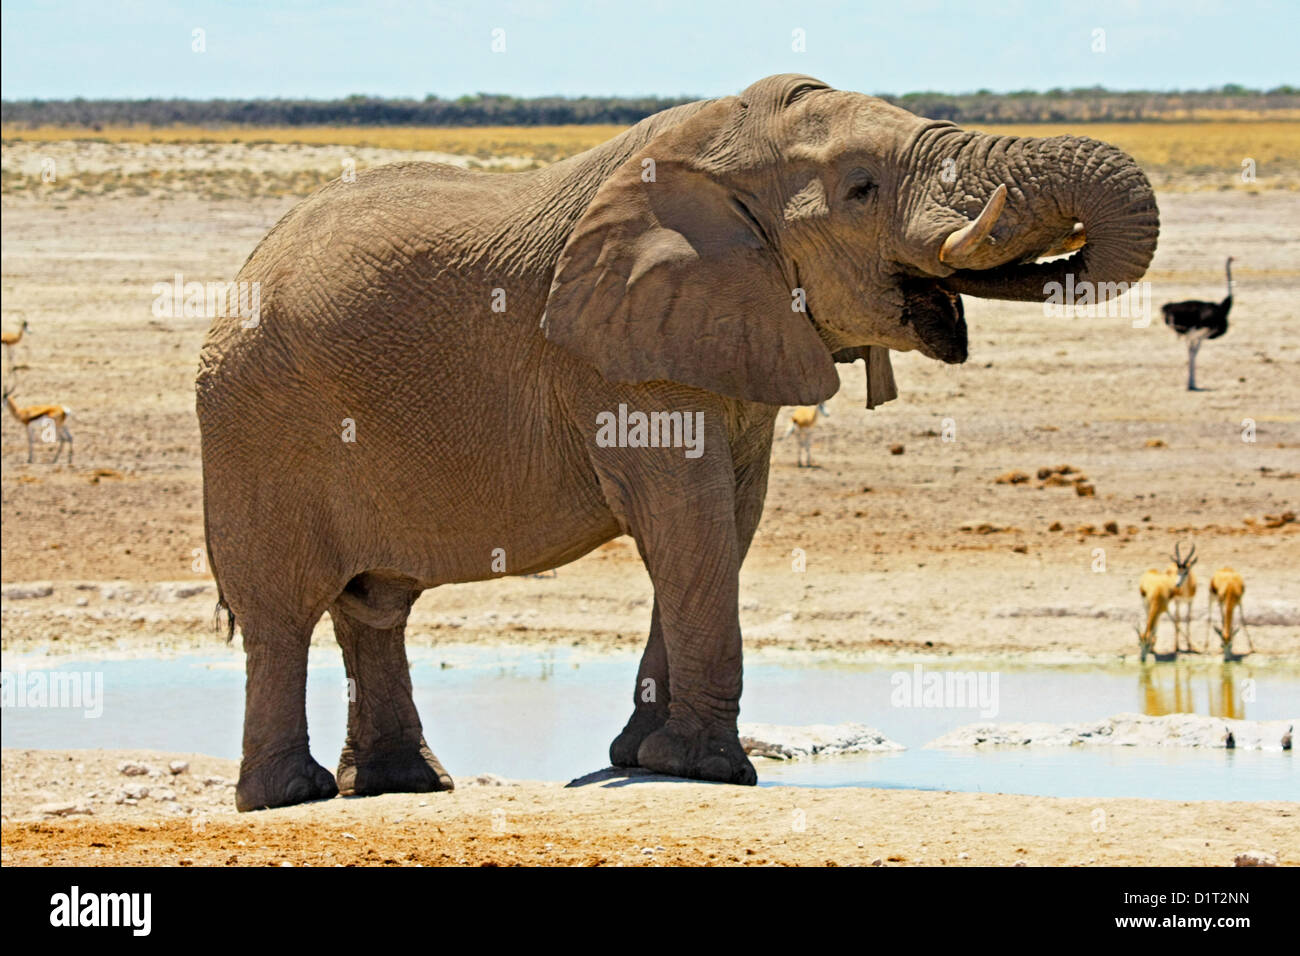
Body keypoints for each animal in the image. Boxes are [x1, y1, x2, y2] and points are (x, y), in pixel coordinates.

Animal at [200, 72, 1159, 806]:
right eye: (860, 189)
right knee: (281, 612)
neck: (715, 153)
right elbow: (687, 523)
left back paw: (404, 787)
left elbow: (727, 523)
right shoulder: (619, 357)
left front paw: (642, 760)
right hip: (255, 423)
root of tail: (244, 268)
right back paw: (291, 798)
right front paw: (709, 771)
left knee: (375, 605)